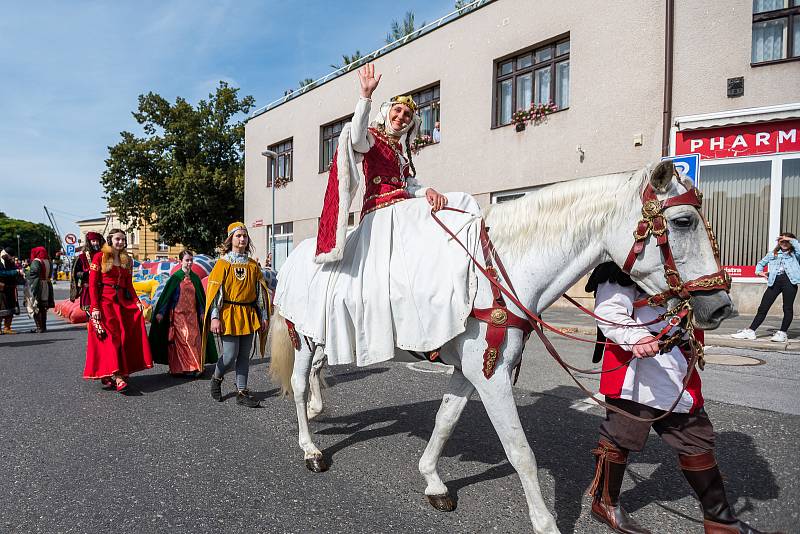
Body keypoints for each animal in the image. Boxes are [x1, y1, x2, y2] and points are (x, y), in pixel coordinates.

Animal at [268, 162, 732, 534]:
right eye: (684, 221)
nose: (721, 306)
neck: (498, 270)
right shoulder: (490, 377)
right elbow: (520, 451)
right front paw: (544, 522)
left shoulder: (473, 370)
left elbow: (445, 420)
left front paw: (432, 480)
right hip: (304, 336)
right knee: (300, 383)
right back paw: (311, 448)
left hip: (326, 338)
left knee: (316, 374)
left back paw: (319, 413)